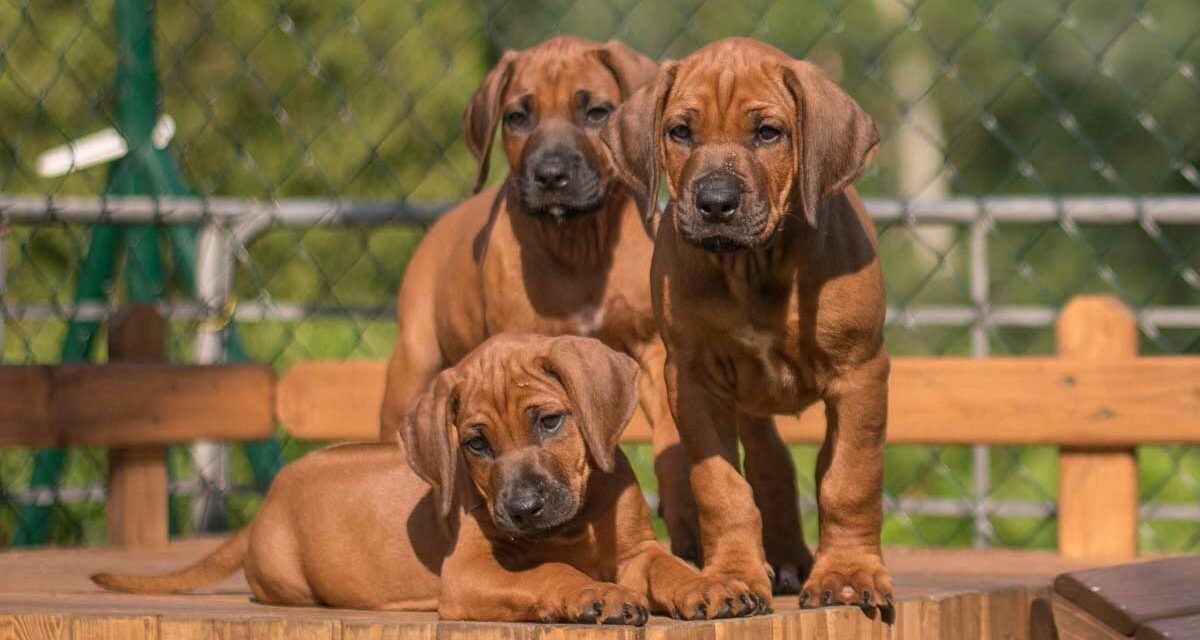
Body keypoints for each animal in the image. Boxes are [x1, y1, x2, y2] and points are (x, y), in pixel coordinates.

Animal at [93, 333, 758, 624]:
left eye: (549, 421)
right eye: (476, 443)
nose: (521, 508)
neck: (574, 524)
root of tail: (265, 507)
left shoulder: (637, 550)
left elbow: (670, 568)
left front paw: (711, 586)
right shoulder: (468, 575)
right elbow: (550, 572)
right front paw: (594, 594)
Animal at [379, 34, 705, 559]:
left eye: (596, 112)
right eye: (517, 117)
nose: (550, 175)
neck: (578, 243)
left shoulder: (653, 353)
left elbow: (671, 446)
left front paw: (688, 526)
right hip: (412, 365)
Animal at [604, 37, 897, 612]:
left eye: (768, 133)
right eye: (680, 131)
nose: (715, 202)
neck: (752, 266)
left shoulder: (860, 375)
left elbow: (850, 478)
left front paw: (848, 574)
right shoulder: (692, 380)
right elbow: (722, 488)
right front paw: (733, 577)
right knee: (771, 465)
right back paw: (779, 562)